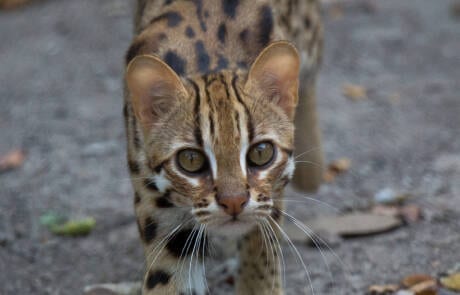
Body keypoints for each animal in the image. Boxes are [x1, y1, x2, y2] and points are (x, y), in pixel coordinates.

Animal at [124, 0, 322, 295]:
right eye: (190, 160)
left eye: (261, 153)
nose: (234, 203)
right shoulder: (156, 204)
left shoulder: (268, 201)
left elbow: (261, 258)